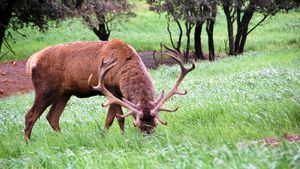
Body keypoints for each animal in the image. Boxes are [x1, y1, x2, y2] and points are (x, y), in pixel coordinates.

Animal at [25, 39, 195, 141]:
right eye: (139, 125)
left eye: (155, 125)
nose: (148, 139)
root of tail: (32, 60)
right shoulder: (111, 90)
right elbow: (115, 118)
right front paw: (111, 137)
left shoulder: (118, 93)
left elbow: (115, 117)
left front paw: (112, 135)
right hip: (46, 89)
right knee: (30, 115)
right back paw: (27, 144)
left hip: (64, 93)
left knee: (52, 117)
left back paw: (64, 139)